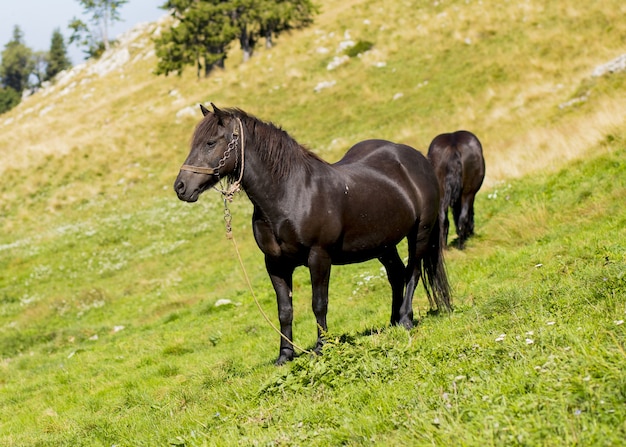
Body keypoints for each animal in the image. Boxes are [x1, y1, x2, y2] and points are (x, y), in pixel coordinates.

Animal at [173, 106, 450, 368]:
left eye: (210, 143)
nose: (181, 187)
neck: (291, 193)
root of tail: (415, 158)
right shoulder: (275, 264)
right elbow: (285, 310)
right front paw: (285, 355)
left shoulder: (319, 256)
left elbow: (319, 302)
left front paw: (321, 347)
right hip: (383, 244)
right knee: (396, 274)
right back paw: (392, 321)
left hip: (420, 233)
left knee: (413, 272)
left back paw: (405, 319)